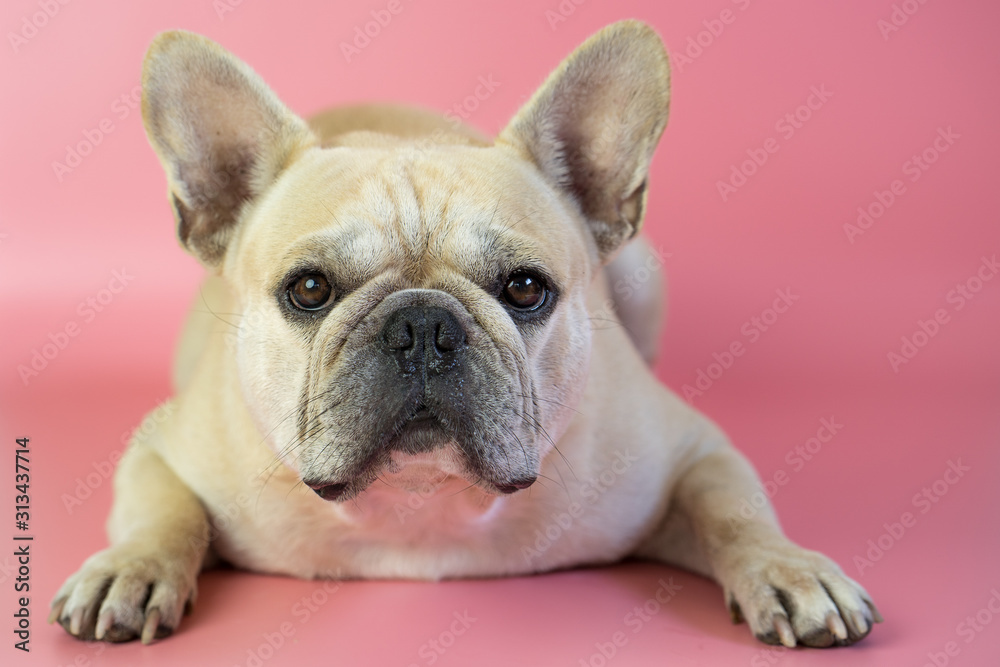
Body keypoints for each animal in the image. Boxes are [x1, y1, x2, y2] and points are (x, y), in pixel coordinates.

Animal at [52, 19, 884, 648]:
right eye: (309, 289)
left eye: (525, 288)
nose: (423, 325)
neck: (421, 505)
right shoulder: (164, 444)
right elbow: (163, 511)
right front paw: (132, 567)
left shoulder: (689, 448)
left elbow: (733, 509)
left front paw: (789, 569)